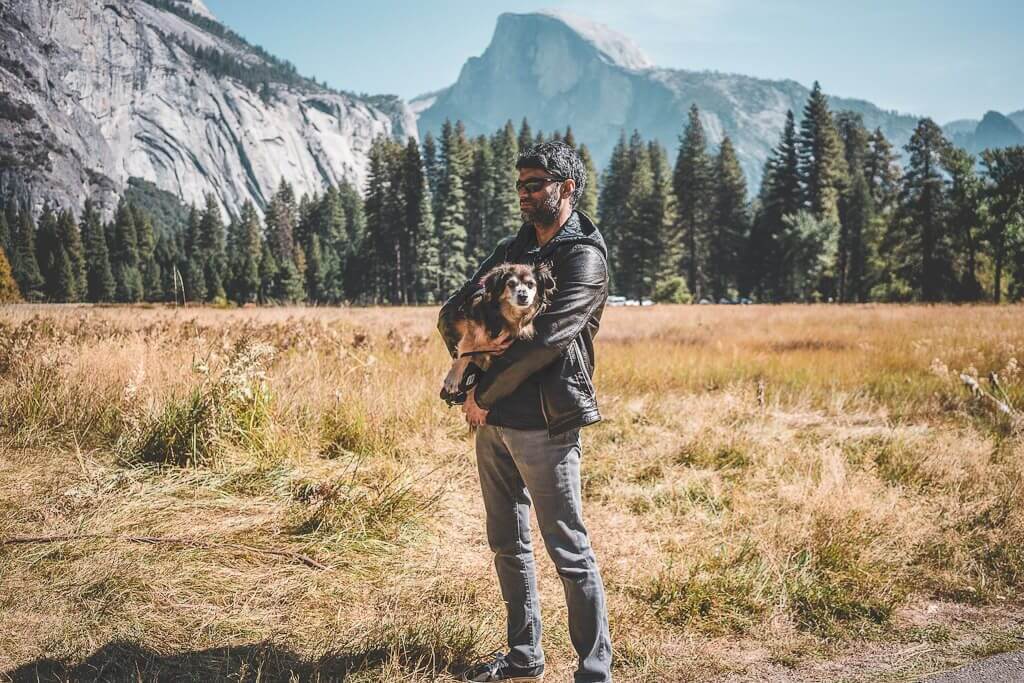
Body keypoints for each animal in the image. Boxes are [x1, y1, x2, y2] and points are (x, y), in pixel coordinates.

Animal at [438, 259, 557, 403]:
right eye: (510, 284)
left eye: (530, 284)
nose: (523, 296)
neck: (506, 315)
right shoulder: (472, 331)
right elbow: (465, 353)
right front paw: (454, 378)